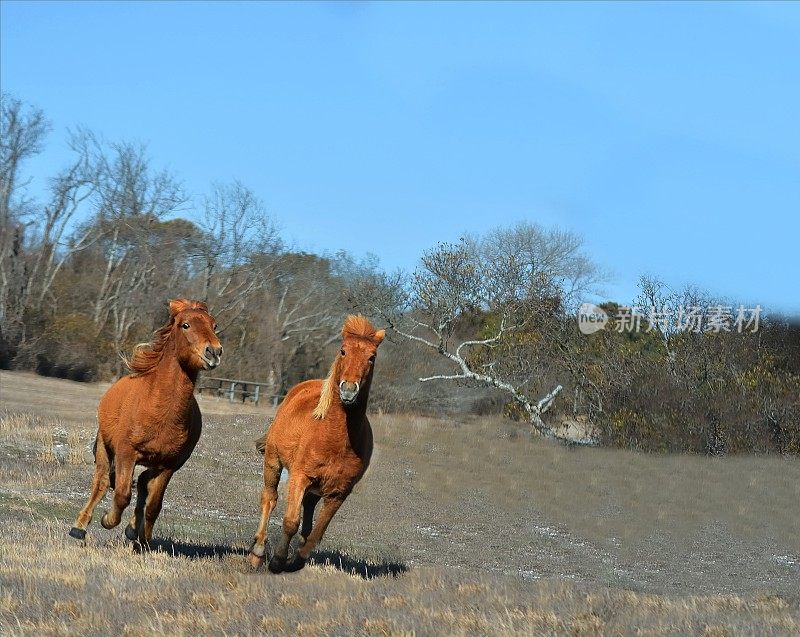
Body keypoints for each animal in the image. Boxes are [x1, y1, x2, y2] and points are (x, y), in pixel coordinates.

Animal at [69, 300, 222, 544]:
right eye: (185, 325)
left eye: (214, 326)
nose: (214, 352)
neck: (158, 409)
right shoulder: (126, 453)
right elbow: (122, 495)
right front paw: (107, 520)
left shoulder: (168, 465)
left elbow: (153, 505)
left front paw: (143, 539)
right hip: (104, 446)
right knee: (101, 482)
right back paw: (79, 527)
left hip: (154, 462)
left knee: (142, 483)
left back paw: (132, 530)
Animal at [250, 314, 388, 572]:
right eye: (343, 351)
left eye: (371, 357)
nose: (349, 390)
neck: (335, 438)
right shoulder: (299, 476)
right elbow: (290, 521)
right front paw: (278, 561)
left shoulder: (339, 493)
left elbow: (316, 533)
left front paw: (295, 561)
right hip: (273, 462)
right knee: (269, 499)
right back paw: (258, 552)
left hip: (316, 488)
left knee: (308, 509)